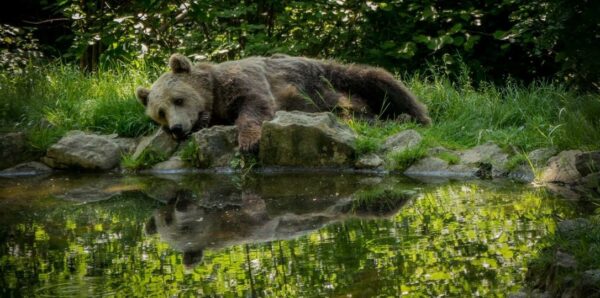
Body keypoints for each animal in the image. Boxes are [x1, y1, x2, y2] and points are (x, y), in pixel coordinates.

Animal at [135, 53, 432, 151]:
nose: (177, 129)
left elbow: (255, 105)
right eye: (160, 113)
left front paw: (248, 141)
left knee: (381, 81)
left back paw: (413, 116)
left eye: (178, 99)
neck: (215, 95)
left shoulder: (246, 80)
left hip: (332, 77)